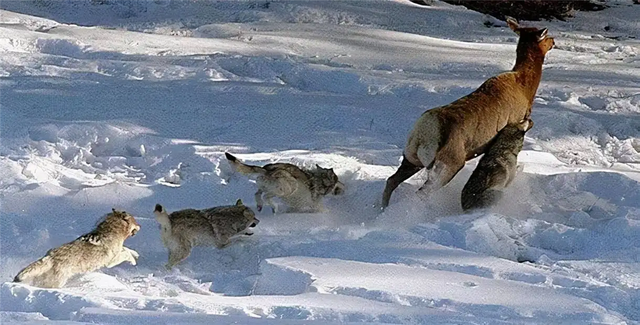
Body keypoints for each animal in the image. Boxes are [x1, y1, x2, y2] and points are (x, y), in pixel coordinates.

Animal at [13, 210, 141, 288]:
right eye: (135, 221)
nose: (140, 226)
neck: (112, 230)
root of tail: (50, 256)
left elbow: (126, 249)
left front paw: (136, 254)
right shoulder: (111, 261)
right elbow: (126, 253)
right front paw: (133, 261)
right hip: (57, 282)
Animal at [380, 15, 556, 208]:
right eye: (545, 35)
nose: (554, 41)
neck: (526, 89)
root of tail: (423, 134)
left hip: (411, 158)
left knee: (391, 180)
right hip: (448, 164)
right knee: (421, 192)